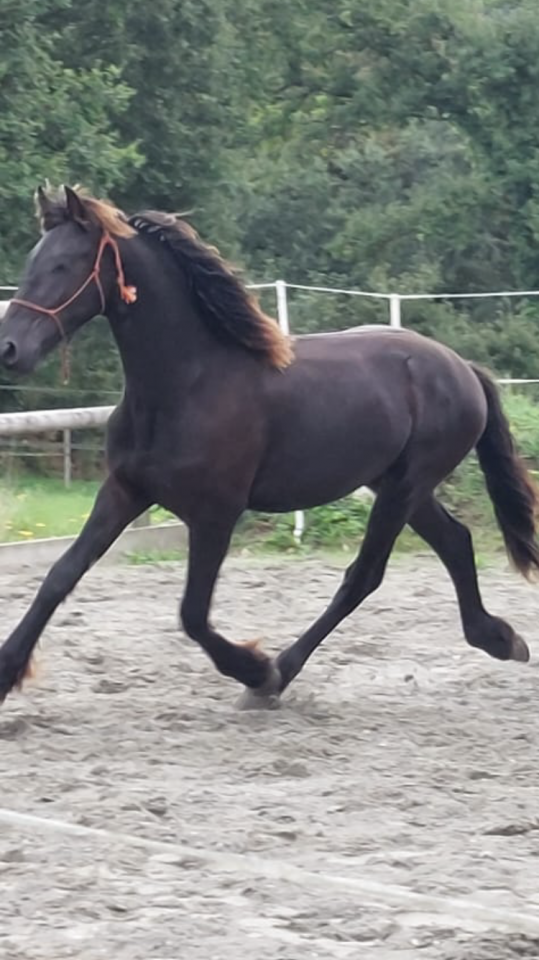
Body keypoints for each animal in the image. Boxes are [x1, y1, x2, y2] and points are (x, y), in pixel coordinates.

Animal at [0, 183, 537, 709]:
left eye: (63, 265)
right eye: (33, 262)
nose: (9, 348)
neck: (188, 384)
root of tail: (462, 367)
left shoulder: (215, 514)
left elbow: (193, 613)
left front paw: (255, 669)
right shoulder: (124, 491)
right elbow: (60, 575)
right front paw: (7, 674)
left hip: (406, 486)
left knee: (364, 576)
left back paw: (279, 675)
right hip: (398, 485)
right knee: (455, 541)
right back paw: (500, 638)